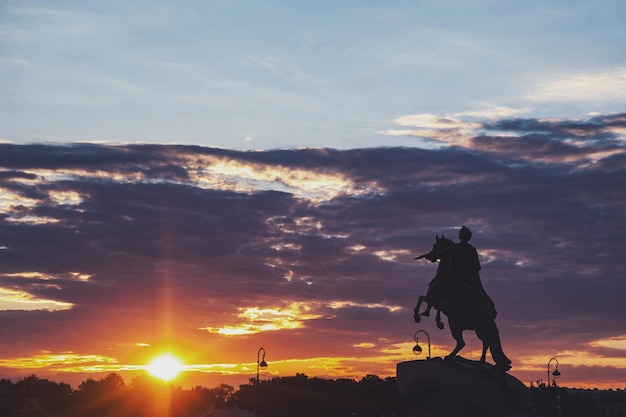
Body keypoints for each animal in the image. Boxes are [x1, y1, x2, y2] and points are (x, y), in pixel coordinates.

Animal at [412, 234, 510, 370]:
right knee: (487, 343)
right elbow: (433, 307)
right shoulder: (436, 302)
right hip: (480, 328)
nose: (429, 256)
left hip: (456, 325)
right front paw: (436, 320)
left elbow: (421, 299)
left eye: (435, 245)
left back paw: (451, 357)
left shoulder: (431, 297)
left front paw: (418, 315)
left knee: (462, 343)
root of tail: (487, 311)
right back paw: (481, 362)